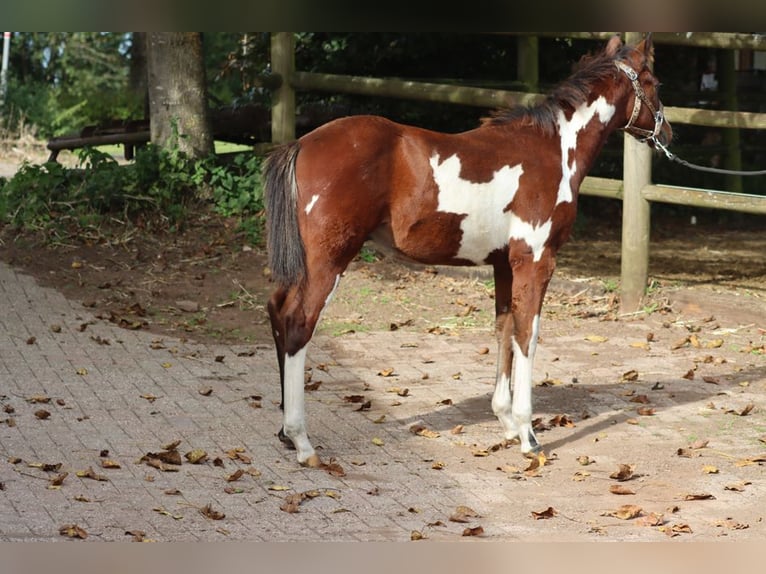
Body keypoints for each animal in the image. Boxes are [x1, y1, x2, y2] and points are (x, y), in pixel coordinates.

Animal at [264, 35, 672, 468]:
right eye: (654, 83)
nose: (668, 132)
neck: (554, 149)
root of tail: (301, 144)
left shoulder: (504, 265)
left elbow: (504, 329)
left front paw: (506, 422)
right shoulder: (536, 261)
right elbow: (528, 334)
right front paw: (528, 435)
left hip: (305, 265)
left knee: (277, 309)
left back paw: (285, 433)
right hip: (329, 261)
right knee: (298, 323)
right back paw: (302, 441)